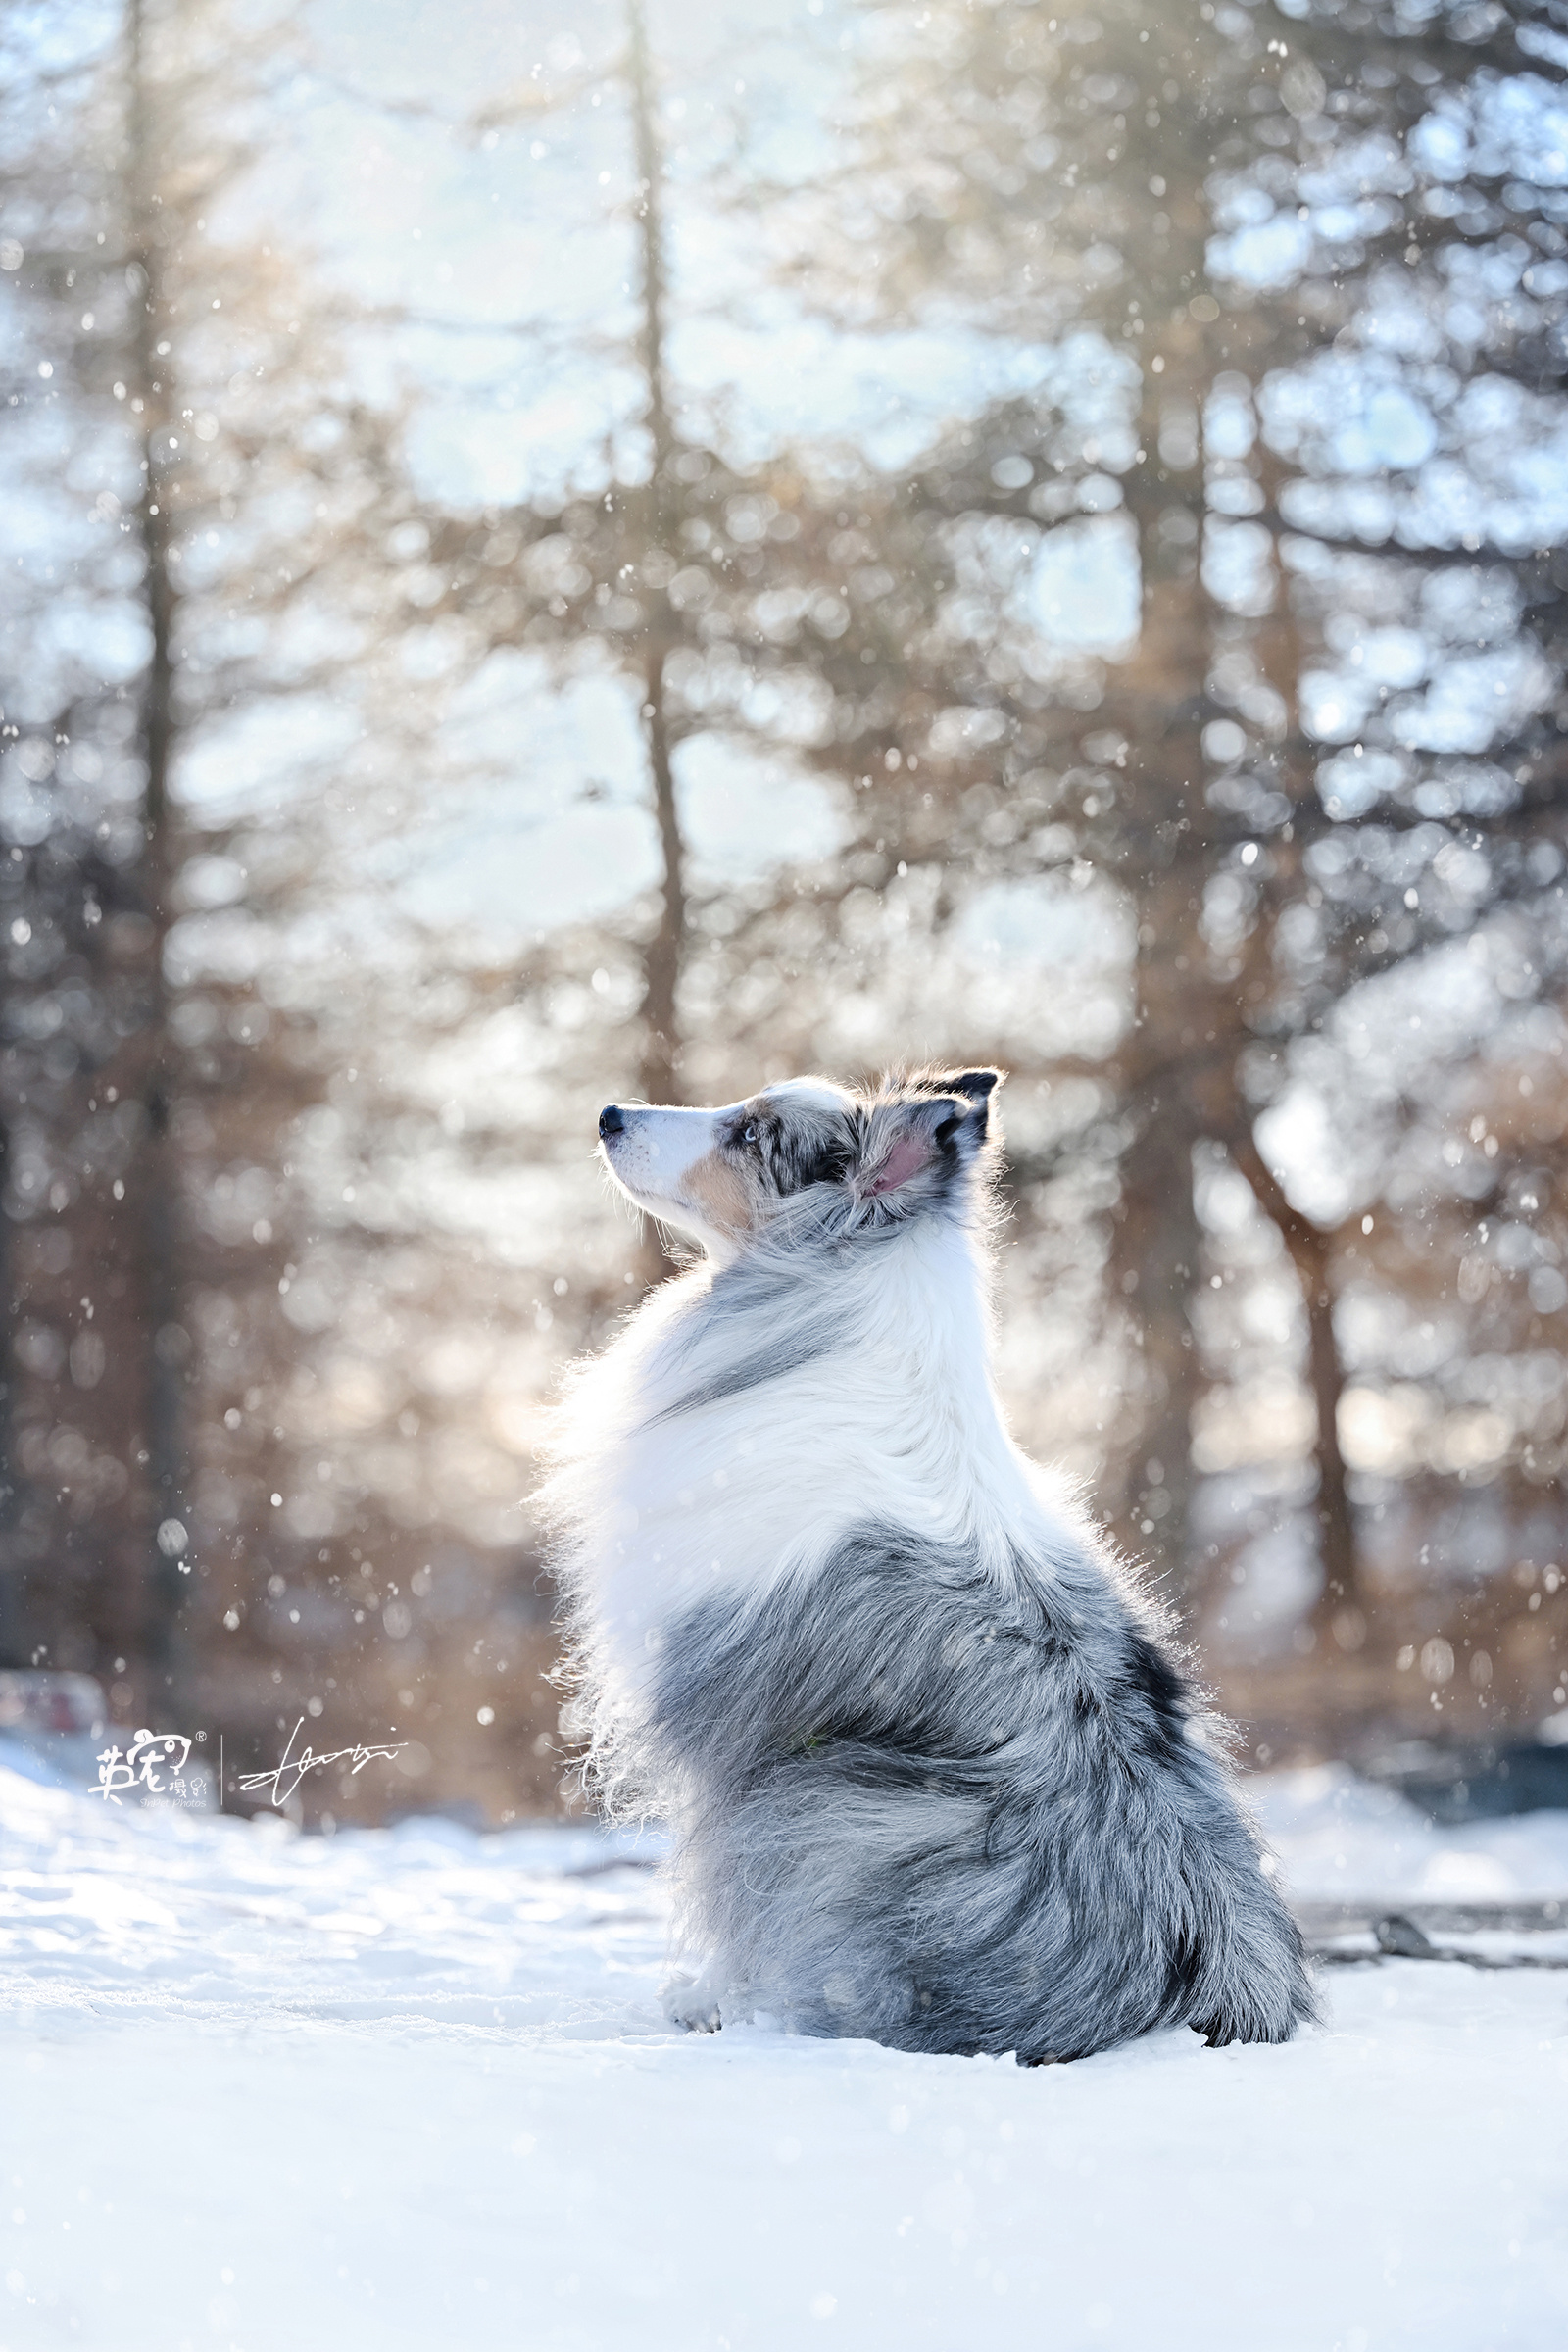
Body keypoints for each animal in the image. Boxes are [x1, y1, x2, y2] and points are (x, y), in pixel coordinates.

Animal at [545, 1067, 1316, 2060]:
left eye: (750, 1134)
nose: (610, 1115)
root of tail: (1190, 1995)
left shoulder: (725, 1737)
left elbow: (712, 1871)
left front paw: (704, 1998)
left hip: (830, 1808)